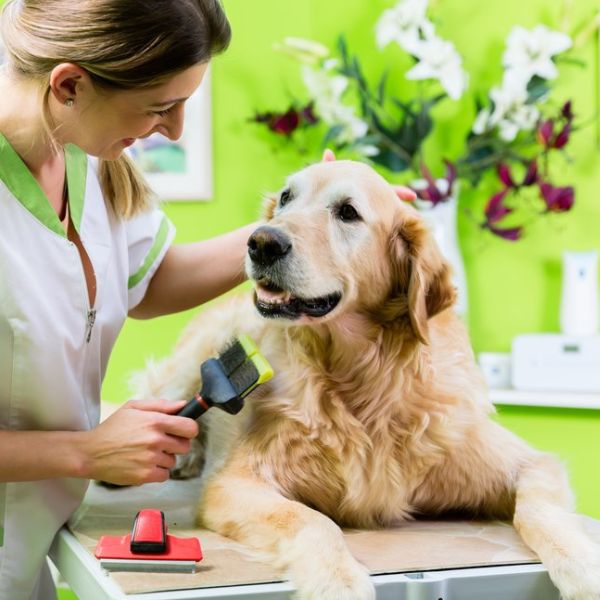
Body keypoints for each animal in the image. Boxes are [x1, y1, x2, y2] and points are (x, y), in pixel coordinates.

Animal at [136, 157, 600, 596]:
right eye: (286, 198)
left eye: (348, 212)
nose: (261, 241)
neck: (364, 379)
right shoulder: (235, 482)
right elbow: (309, 519)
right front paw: (338, 580)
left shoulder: (528, 463)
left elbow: (543, 511)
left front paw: (583, 567)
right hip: (192, 371)